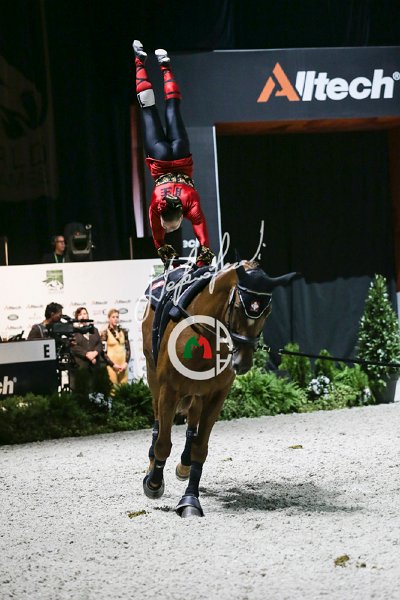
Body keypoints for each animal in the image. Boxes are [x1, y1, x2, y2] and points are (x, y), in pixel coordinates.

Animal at [141, 260, 296, 517]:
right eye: (238, 306)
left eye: (267, 311)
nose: (243, 362)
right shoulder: (169, 390)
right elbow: (163, 442)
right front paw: (153, 483)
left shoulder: (216, 396)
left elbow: (200, 449)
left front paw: (190, 500)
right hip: (154, 378)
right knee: (157, 424)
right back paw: (152, 463)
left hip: (198, 392)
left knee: (192, 425)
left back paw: (184, 465)